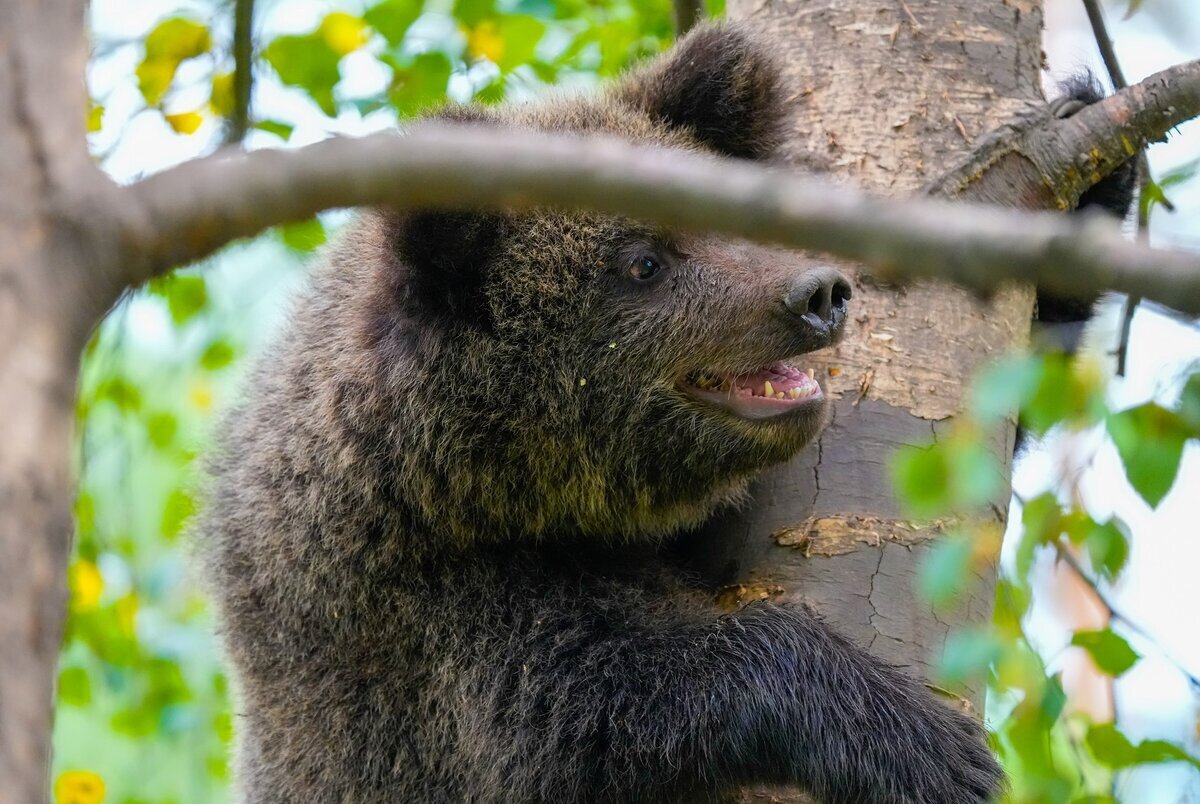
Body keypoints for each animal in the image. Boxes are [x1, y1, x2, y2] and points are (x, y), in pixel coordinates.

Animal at [204, 22, 1003, 801]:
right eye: (642, 261)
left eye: (727, 217)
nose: (818, 295)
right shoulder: (429, 623)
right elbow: (587, 713)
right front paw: (923, 743)